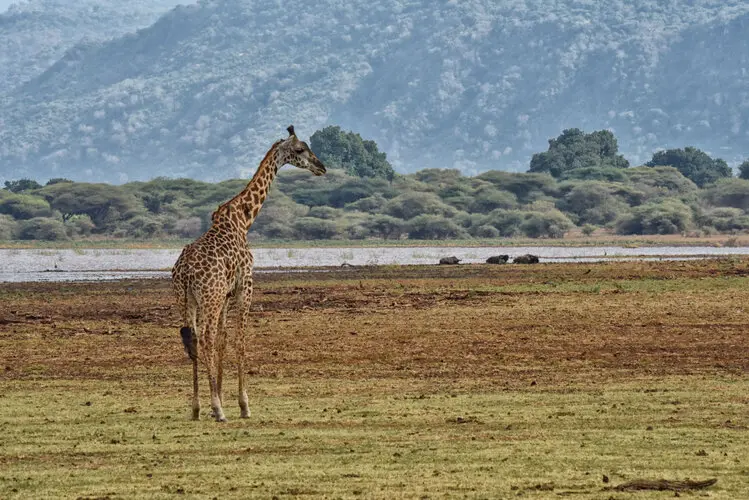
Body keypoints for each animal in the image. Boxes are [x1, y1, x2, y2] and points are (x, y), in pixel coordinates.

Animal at [171, 126, 326, 422]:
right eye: (300, 149)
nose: (321, 167)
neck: (244, 219)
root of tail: (184, 271)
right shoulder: (246, 286)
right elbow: (240, 340)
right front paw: (242, 405)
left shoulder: (226, 294)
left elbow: (224, 340)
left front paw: (219, 397)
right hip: (209, 296)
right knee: (205, 337)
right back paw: (217, 410)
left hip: (186, 299)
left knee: (193, 337)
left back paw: (196, 408)